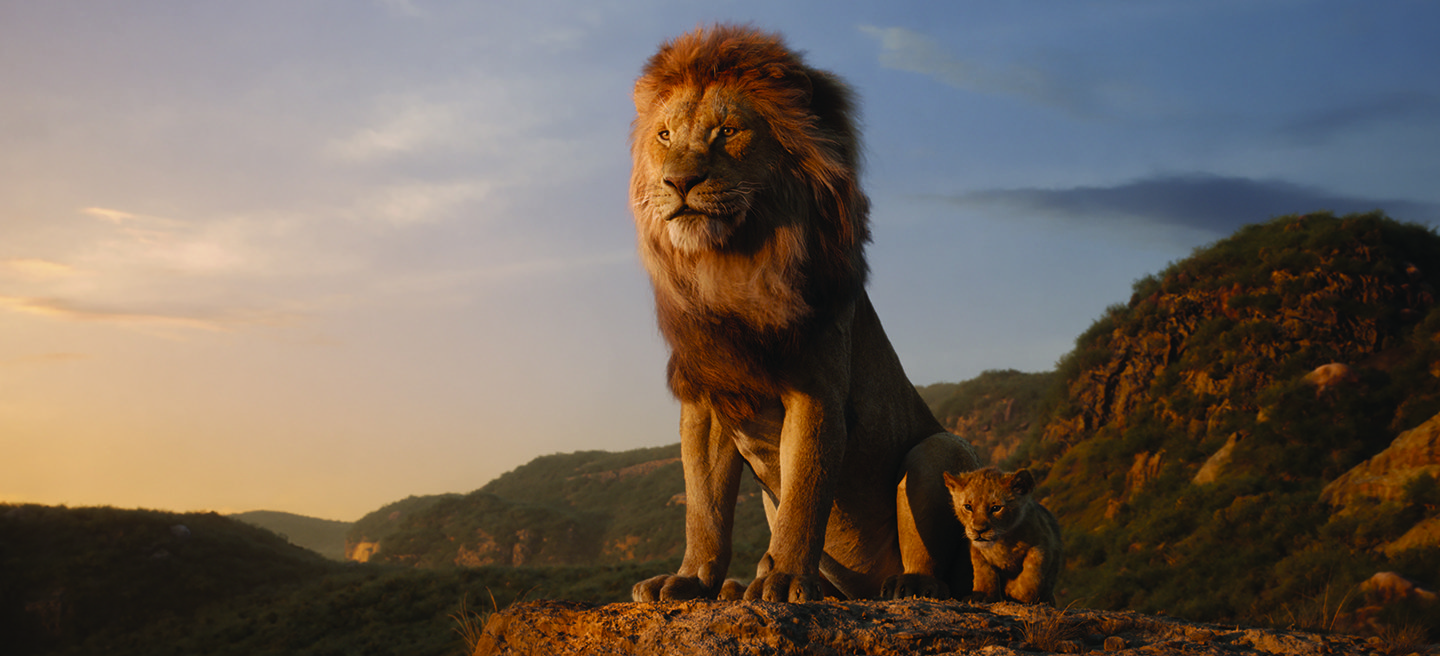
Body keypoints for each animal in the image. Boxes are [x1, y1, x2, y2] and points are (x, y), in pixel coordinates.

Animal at [627, 24, 980, 603]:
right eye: (664, 136)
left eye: (727, 131)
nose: (678, 182)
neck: (730, 268)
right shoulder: (707, 399)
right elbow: (704, 508)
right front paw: (691, 580)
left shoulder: (816, 392)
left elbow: (804, 495)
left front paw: (787, 579)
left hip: (939, 449)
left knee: (935, 564)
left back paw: (906, 585)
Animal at [943, 467, 1063, 605]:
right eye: (968, 507)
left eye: (996, 508)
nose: (979, 530)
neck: (1002, 542)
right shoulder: (977, 551)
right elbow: (984, 573)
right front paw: (982, 596)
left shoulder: (1043, 544)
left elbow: (1031, 575)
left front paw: (1017, 594)